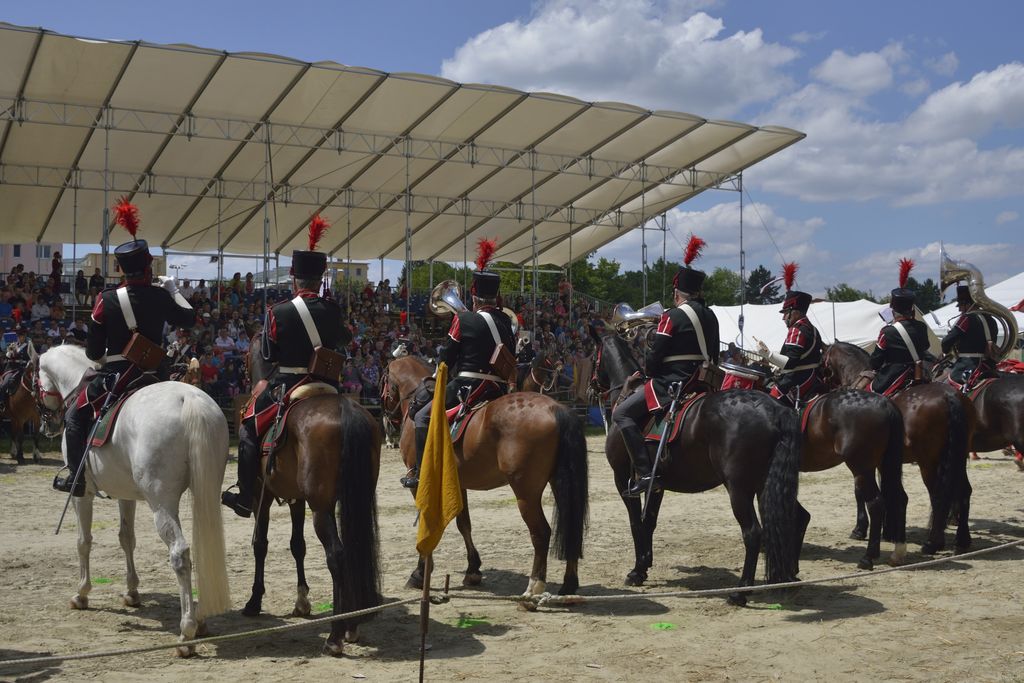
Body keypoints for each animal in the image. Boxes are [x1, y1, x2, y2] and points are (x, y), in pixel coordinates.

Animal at [33, 348, 232, 655]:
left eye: (34, 381)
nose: (47, 424)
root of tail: (189, 399)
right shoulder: (127, 495)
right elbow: (126, 538)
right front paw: (132, 591)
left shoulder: (82, 495)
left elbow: (83, 541)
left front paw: (82, 593)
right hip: (206, 489)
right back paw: (200, 620)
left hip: (161, 502)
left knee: (180, 554)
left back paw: (186, 631)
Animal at [246, 348, 380, 655]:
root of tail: (346, 409)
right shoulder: (297, 499)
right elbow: (298, 545)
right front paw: (302, 601)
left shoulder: (262, 495)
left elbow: (260, 544)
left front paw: (254, 601)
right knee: (353, 549)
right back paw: (352, 624)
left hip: (321, 508)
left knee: (337, 556)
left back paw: (335, 635)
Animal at [385, 356, 593, 602]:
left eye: (384, 383)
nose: (388, 418)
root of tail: (556, 407)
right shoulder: (458, 484)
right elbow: (464, 524)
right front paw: (473, 569)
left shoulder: (421, 486)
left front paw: (419, 573)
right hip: (561, 483)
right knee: (571, 527)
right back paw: (569, 584)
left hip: (526, 493)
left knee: (541, 532)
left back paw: (534, 587)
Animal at [598, 333, 802, 606]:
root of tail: (775, 409)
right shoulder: (657, 484)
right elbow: (649, 521)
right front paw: (644, 566)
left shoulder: (623, 480)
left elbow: (636, 523)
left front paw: (636, 571)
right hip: (767, 485)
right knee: (789, 521)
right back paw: (787, 578)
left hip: (739, 488)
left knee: (753, 533)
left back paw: (740, 592)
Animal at [823, 342, 974, 557]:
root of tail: (949, 396)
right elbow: (892, 491)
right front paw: (890, 531)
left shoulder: (863, 461)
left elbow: (861, 491)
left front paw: (861, 529)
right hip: (957, 458)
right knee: (964, 491)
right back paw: (962, 540)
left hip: (928, 462)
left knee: (938, 495)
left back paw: (933, 543)